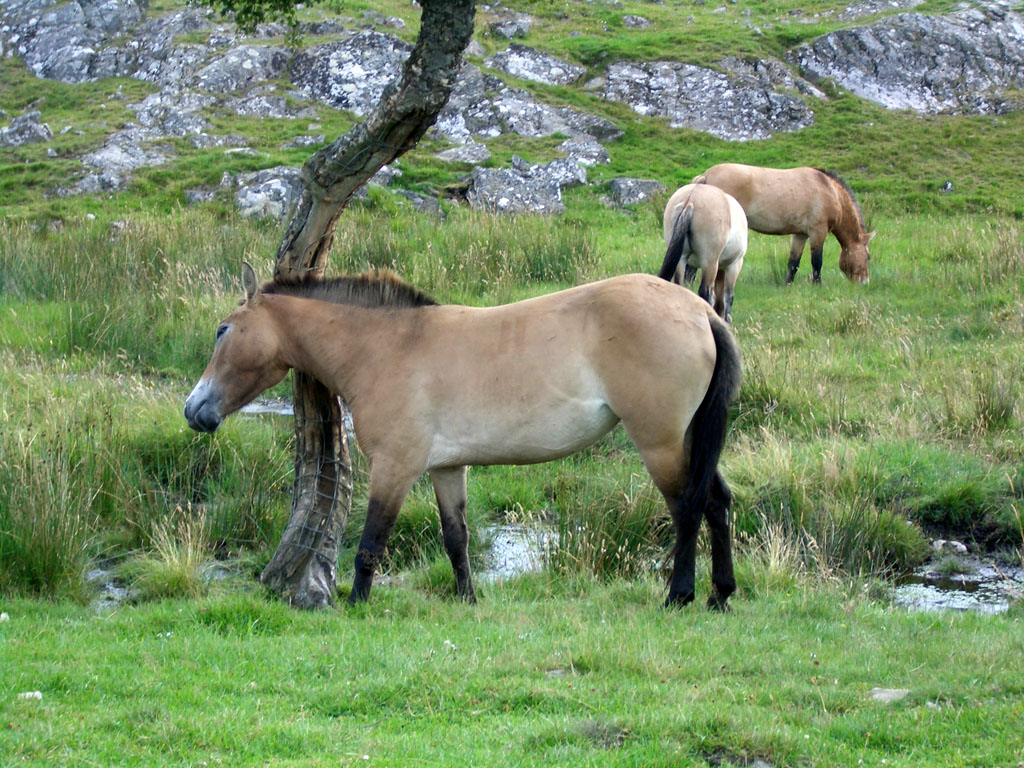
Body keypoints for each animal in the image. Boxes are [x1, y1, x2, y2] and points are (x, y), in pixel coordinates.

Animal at [184, 266, 741, 614]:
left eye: (222, 330)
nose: (195, 411)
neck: (387, 347)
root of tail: (701, 312)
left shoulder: (395, 467)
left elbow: (370, 544)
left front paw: (356, 604)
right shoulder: (445, 469)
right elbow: (457, 540)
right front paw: (468, 600)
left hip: (660, 442)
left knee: (687, 509)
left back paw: (679, 596)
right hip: (688, 439)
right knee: (716, 502)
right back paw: (720, 595)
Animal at [659, 183, 749, 325]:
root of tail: (691, 199)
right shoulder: (734, 265)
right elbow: (728, 297)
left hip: (681, 259)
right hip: (709, 263)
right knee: (706, 293)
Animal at [700, 162, 876, 286]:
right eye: (868, 256)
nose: (865, 282)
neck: (829, 189)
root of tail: (706, 175)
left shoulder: (800, 235)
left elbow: (793, 263)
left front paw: (788, 285)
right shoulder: (818, 232)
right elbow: (817, 262)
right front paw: (817, 285)